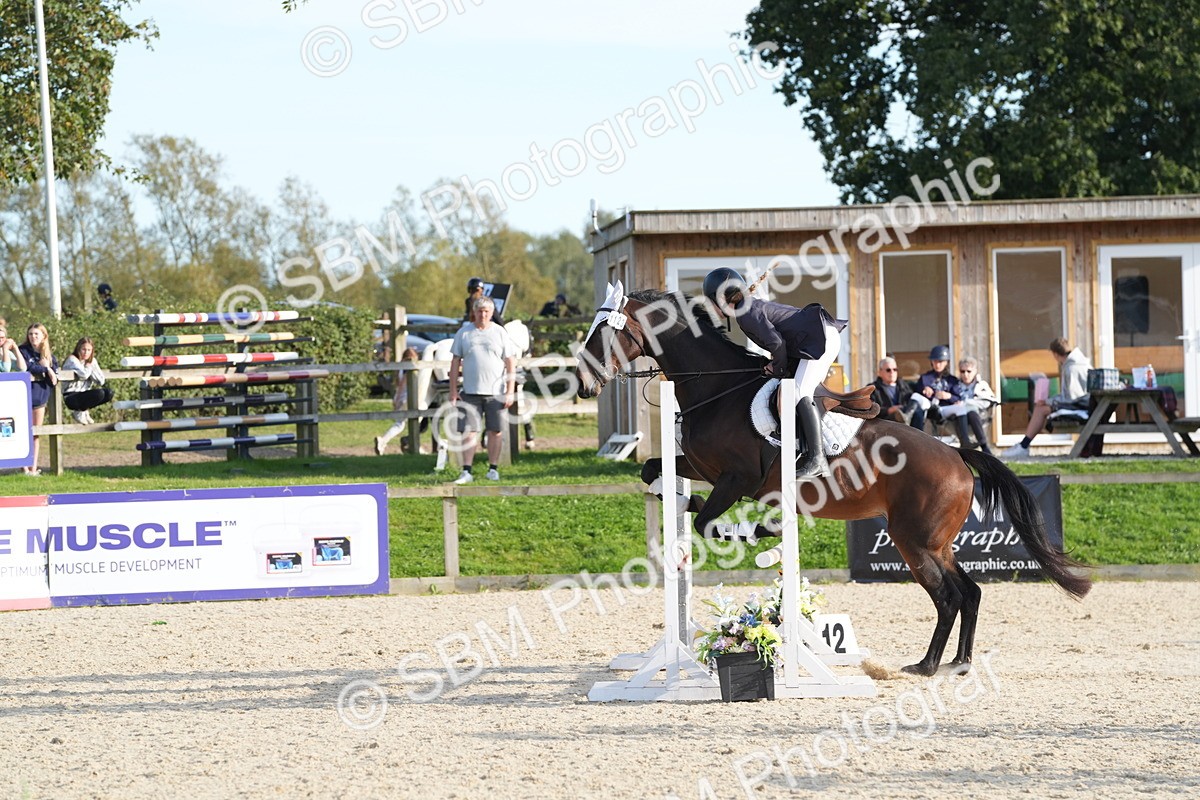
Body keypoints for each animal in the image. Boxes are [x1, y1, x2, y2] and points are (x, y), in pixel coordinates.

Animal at [574, 284, 1091, 676]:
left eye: (602, 332)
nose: (582, 385)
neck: (717, 386)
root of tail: (957, 455)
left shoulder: (737, 478)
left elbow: (707, 524)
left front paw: (759, 538)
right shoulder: (701, 468)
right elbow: (654, 471)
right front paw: (675, 500)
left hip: (913, 541)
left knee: (947, 598)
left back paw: (925, 666)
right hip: (936, 542)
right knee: (969, 592)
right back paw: (957, 663)